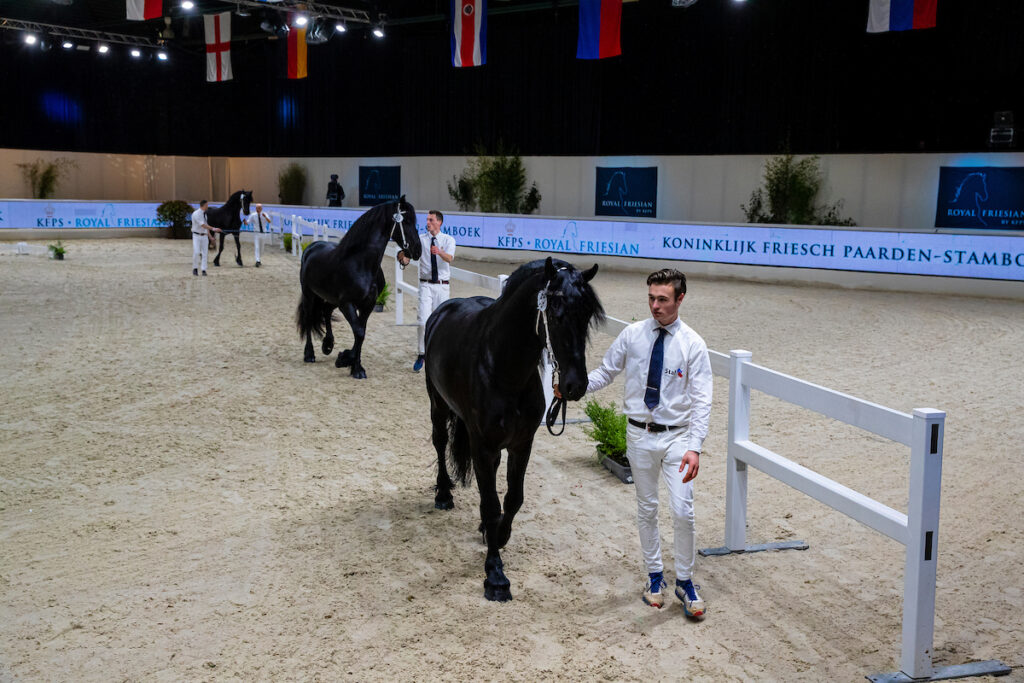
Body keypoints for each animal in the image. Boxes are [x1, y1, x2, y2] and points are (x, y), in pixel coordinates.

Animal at [295, 196, 422, 379]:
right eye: (406, 222)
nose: (417, 250)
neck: (360, 264)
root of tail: (311, 248)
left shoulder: (366, 305)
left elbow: (360, 333)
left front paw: (356, 368)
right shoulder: (347, 304)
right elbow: (359, 332)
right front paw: (344, 360)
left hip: (332, 299)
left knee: (326, 311)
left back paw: (328, 345)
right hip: (309, 295)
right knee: (309, 318)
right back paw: (309, 354)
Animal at [424, 257, 604, 601]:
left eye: (587, 315)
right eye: (556, 312)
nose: (575, 385)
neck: (502, 368)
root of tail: (443, 311)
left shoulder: (521, 444)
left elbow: (512, 499)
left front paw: (500, 535)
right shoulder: (482, 446)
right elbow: (491, 505)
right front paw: (495, 575)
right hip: (437, 404)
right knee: (440, 443)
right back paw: (443, 494)